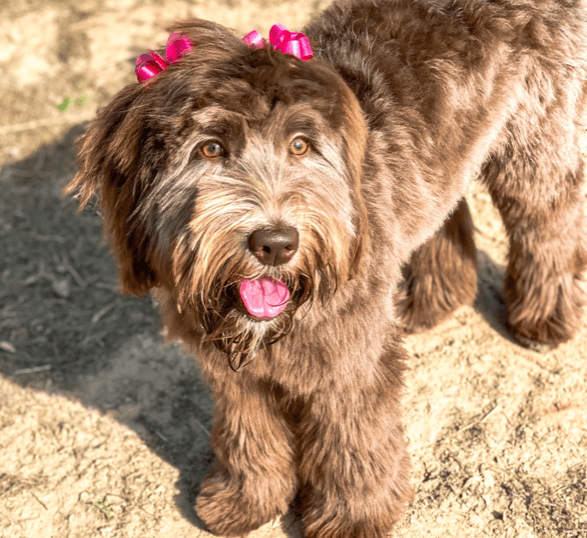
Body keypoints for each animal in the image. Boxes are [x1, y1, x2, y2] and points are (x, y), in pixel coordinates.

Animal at [65, 0, 587, 532]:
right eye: (210, 148)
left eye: (300, 145)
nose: (276, 243)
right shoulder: (233, 377)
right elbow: (247, 434)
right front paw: (244, 502)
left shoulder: (351, 359)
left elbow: (353, 440)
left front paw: (353, 515)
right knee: (444, 213)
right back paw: (431, 299)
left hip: (536, 147)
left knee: (547, 225)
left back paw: (542, 318)